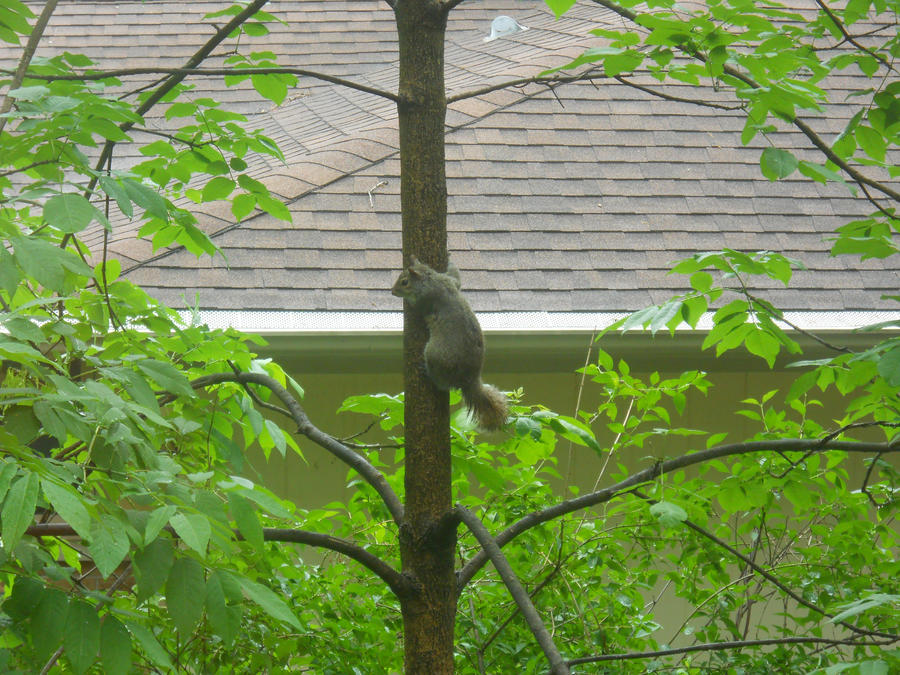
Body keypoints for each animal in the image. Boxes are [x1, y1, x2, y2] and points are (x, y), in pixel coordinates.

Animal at [392, 256, 510, 430]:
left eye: (404, 282)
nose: (392, 291)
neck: (432, 279)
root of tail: (469, 380)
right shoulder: (451, 281)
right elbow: (457, 278)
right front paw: (450, 260)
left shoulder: (425, 299)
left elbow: (417, 307)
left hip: (434, 354)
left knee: (441, 384)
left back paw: (428, 373)